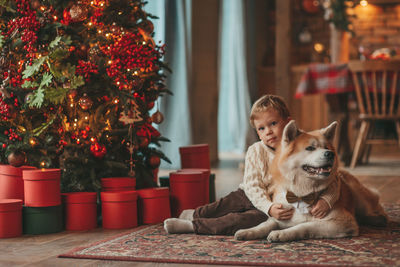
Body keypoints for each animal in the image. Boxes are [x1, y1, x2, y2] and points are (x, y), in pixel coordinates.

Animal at [234, 121, 388, 243]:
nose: (330, 154)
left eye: (327, 147)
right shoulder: (278, 216)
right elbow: (264, 225)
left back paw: (377, 219)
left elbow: (304, 226)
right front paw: (248, 231)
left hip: (358, 196)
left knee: (377, 209)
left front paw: (282, 233)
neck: (302, 194)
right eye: (310, 148)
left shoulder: (342, 222)